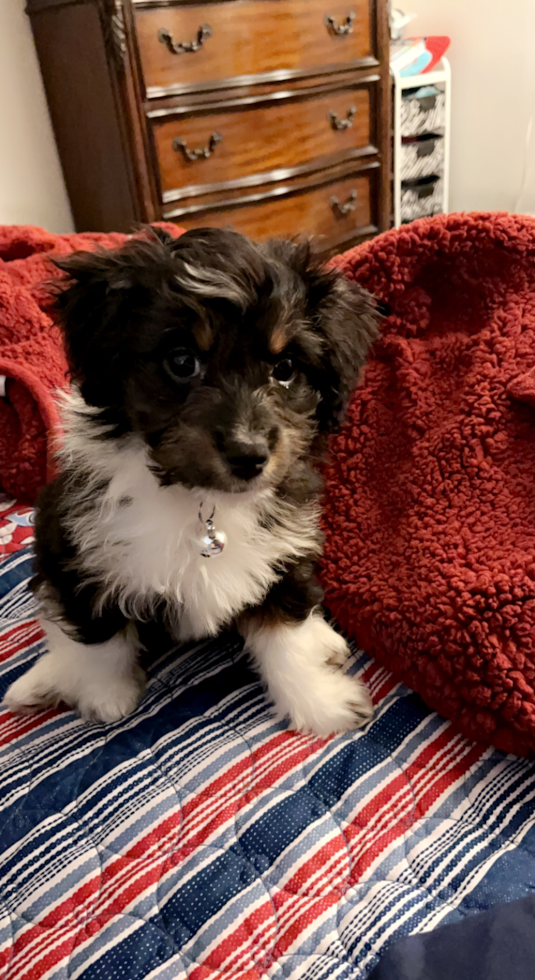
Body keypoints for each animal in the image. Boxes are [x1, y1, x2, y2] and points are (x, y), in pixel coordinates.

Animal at [4, 230, 382, 736]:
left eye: (284, 368)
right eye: (182, 361)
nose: (248, 454)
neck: (200, 499)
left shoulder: (283, 548)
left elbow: (286, 636)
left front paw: (321, 703)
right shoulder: (79, 554)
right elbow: (101, 638)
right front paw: (107, 695)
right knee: (57, 622)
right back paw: (42, 681)